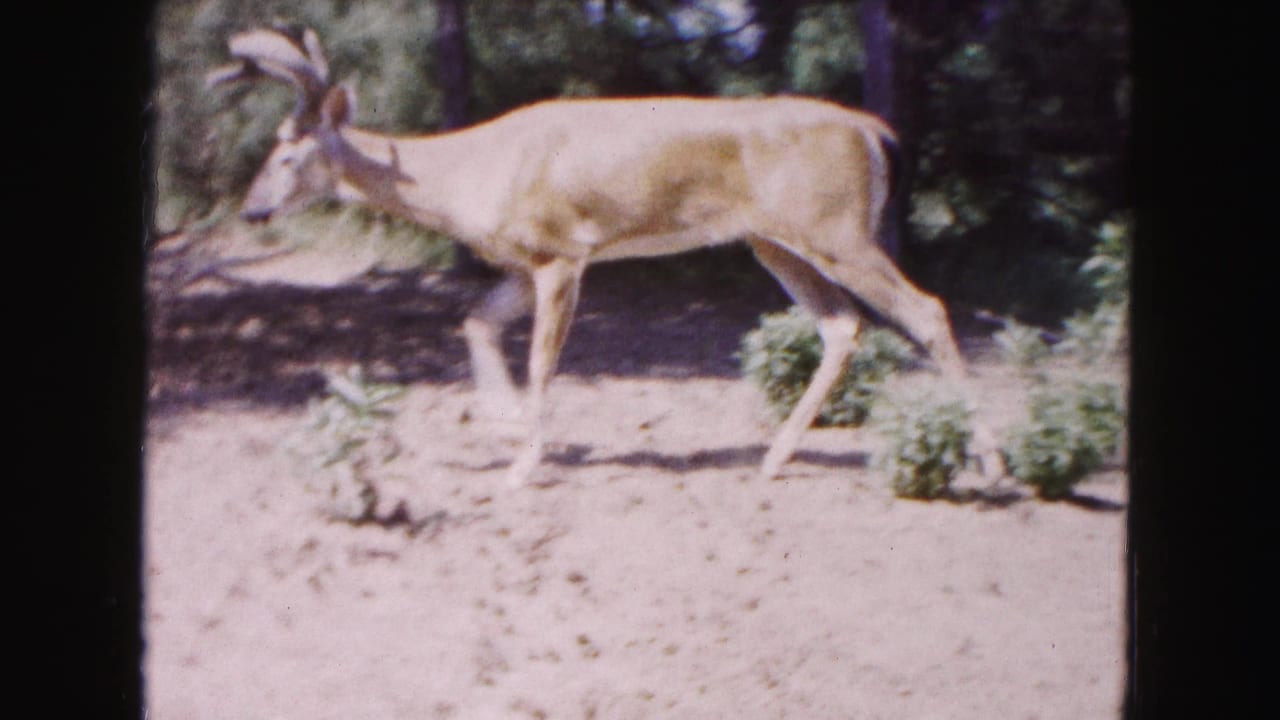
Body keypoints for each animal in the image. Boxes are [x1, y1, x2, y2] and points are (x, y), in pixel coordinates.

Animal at [208, 26, 1003, 488]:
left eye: (288, 152)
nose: (252, 210)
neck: (468, 172)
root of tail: (872, 130)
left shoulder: (563, 252)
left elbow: (540, 360)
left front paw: (524, 460)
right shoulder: (523, 262)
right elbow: (475, 321)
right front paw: (504, 421)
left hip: (836, 230)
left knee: (926, 310)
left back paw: (991, 463)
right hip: (776, 241)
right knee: (842, 325)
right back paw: (774, 457)